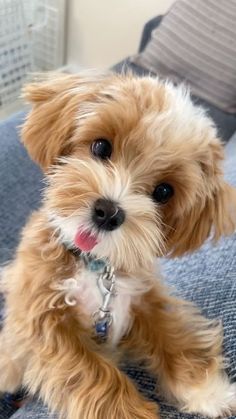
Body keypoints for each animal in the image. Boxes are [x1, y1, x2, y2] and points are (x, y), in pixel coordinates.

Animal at [0, 73, 236, 419]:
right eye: (101, 146)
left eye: (163, 192)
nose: (108, 212)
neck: (93, 263)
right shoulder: (45, 323)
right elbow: (91, 372)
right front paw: (129, 412)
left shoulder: (142, 297)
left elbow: (173, 331)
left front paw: (206, 389)